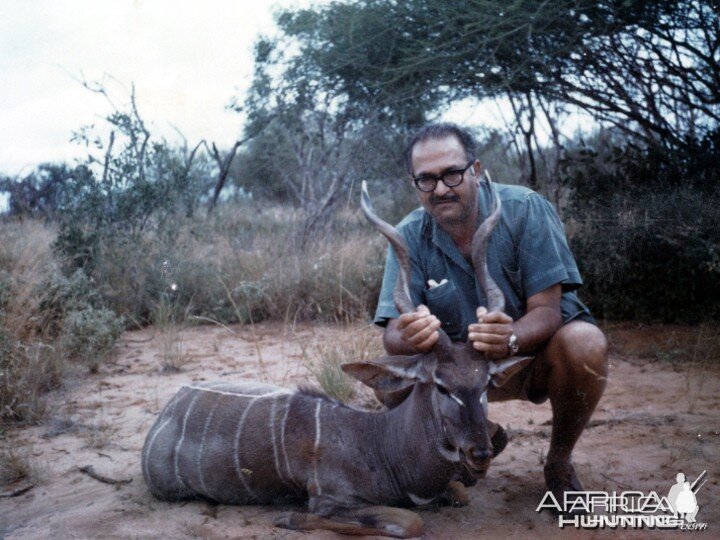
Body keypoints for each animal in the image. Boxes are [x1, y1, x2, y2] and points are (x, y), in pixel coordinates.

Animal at [141, 178, 528, 536]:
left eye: (486, 384)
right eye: (441, 386)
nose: (480, 453)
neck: (377, 443)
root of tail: (172, 405)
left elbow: (458, 494)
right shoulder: (331, 499)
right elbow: (408, 521)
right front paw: (290, 517)